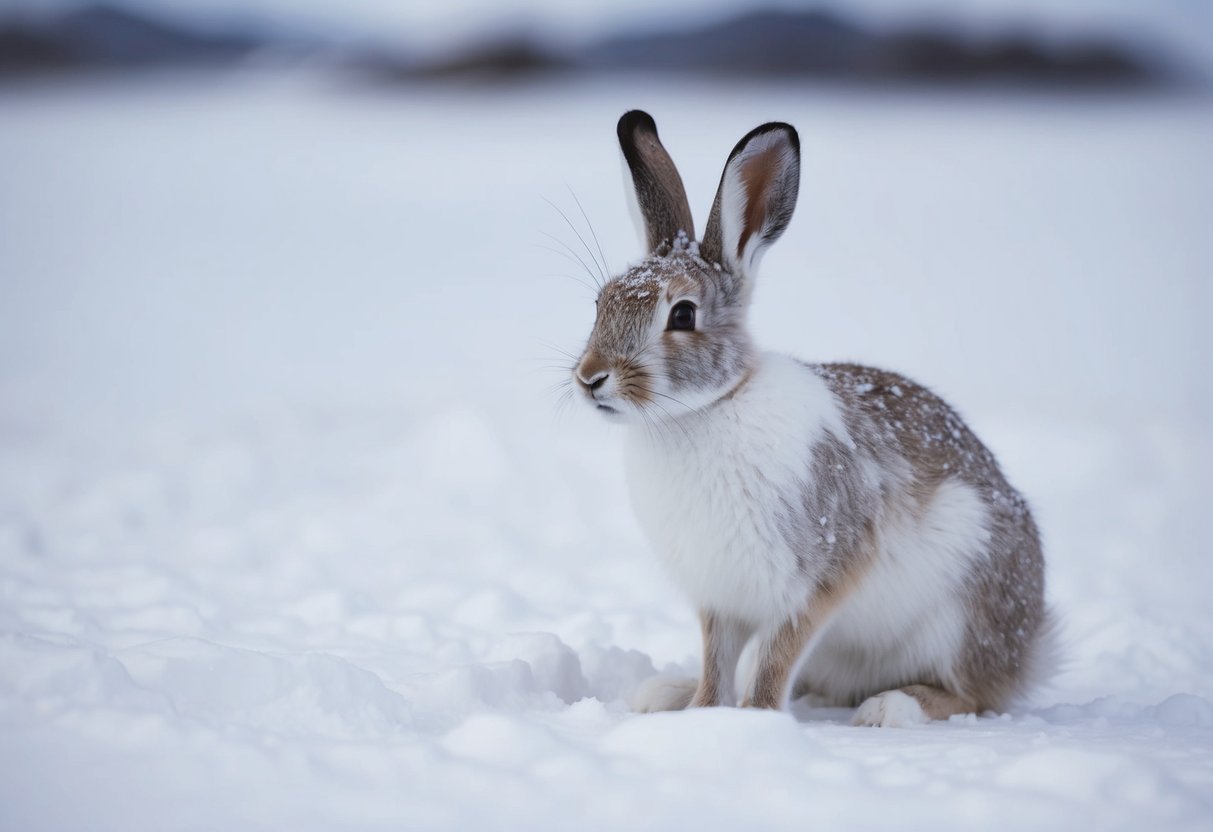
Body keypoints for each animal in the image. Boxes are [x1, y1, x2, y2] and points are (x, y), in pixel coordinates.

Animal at [570, 110, 1055, 727]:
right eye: (601, 302)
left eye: (682, 315)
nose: (590, 377)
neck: (711, 407)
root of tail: (1030, 644)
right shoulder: (720, 597)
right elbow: (717, 660)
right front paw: (704, 713)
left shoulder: (818, 578)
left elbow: (778, 657)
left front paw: (754, 719)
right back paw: (667, 693)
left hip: (960, 615)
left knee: (971, 694)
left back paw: (890, 707)